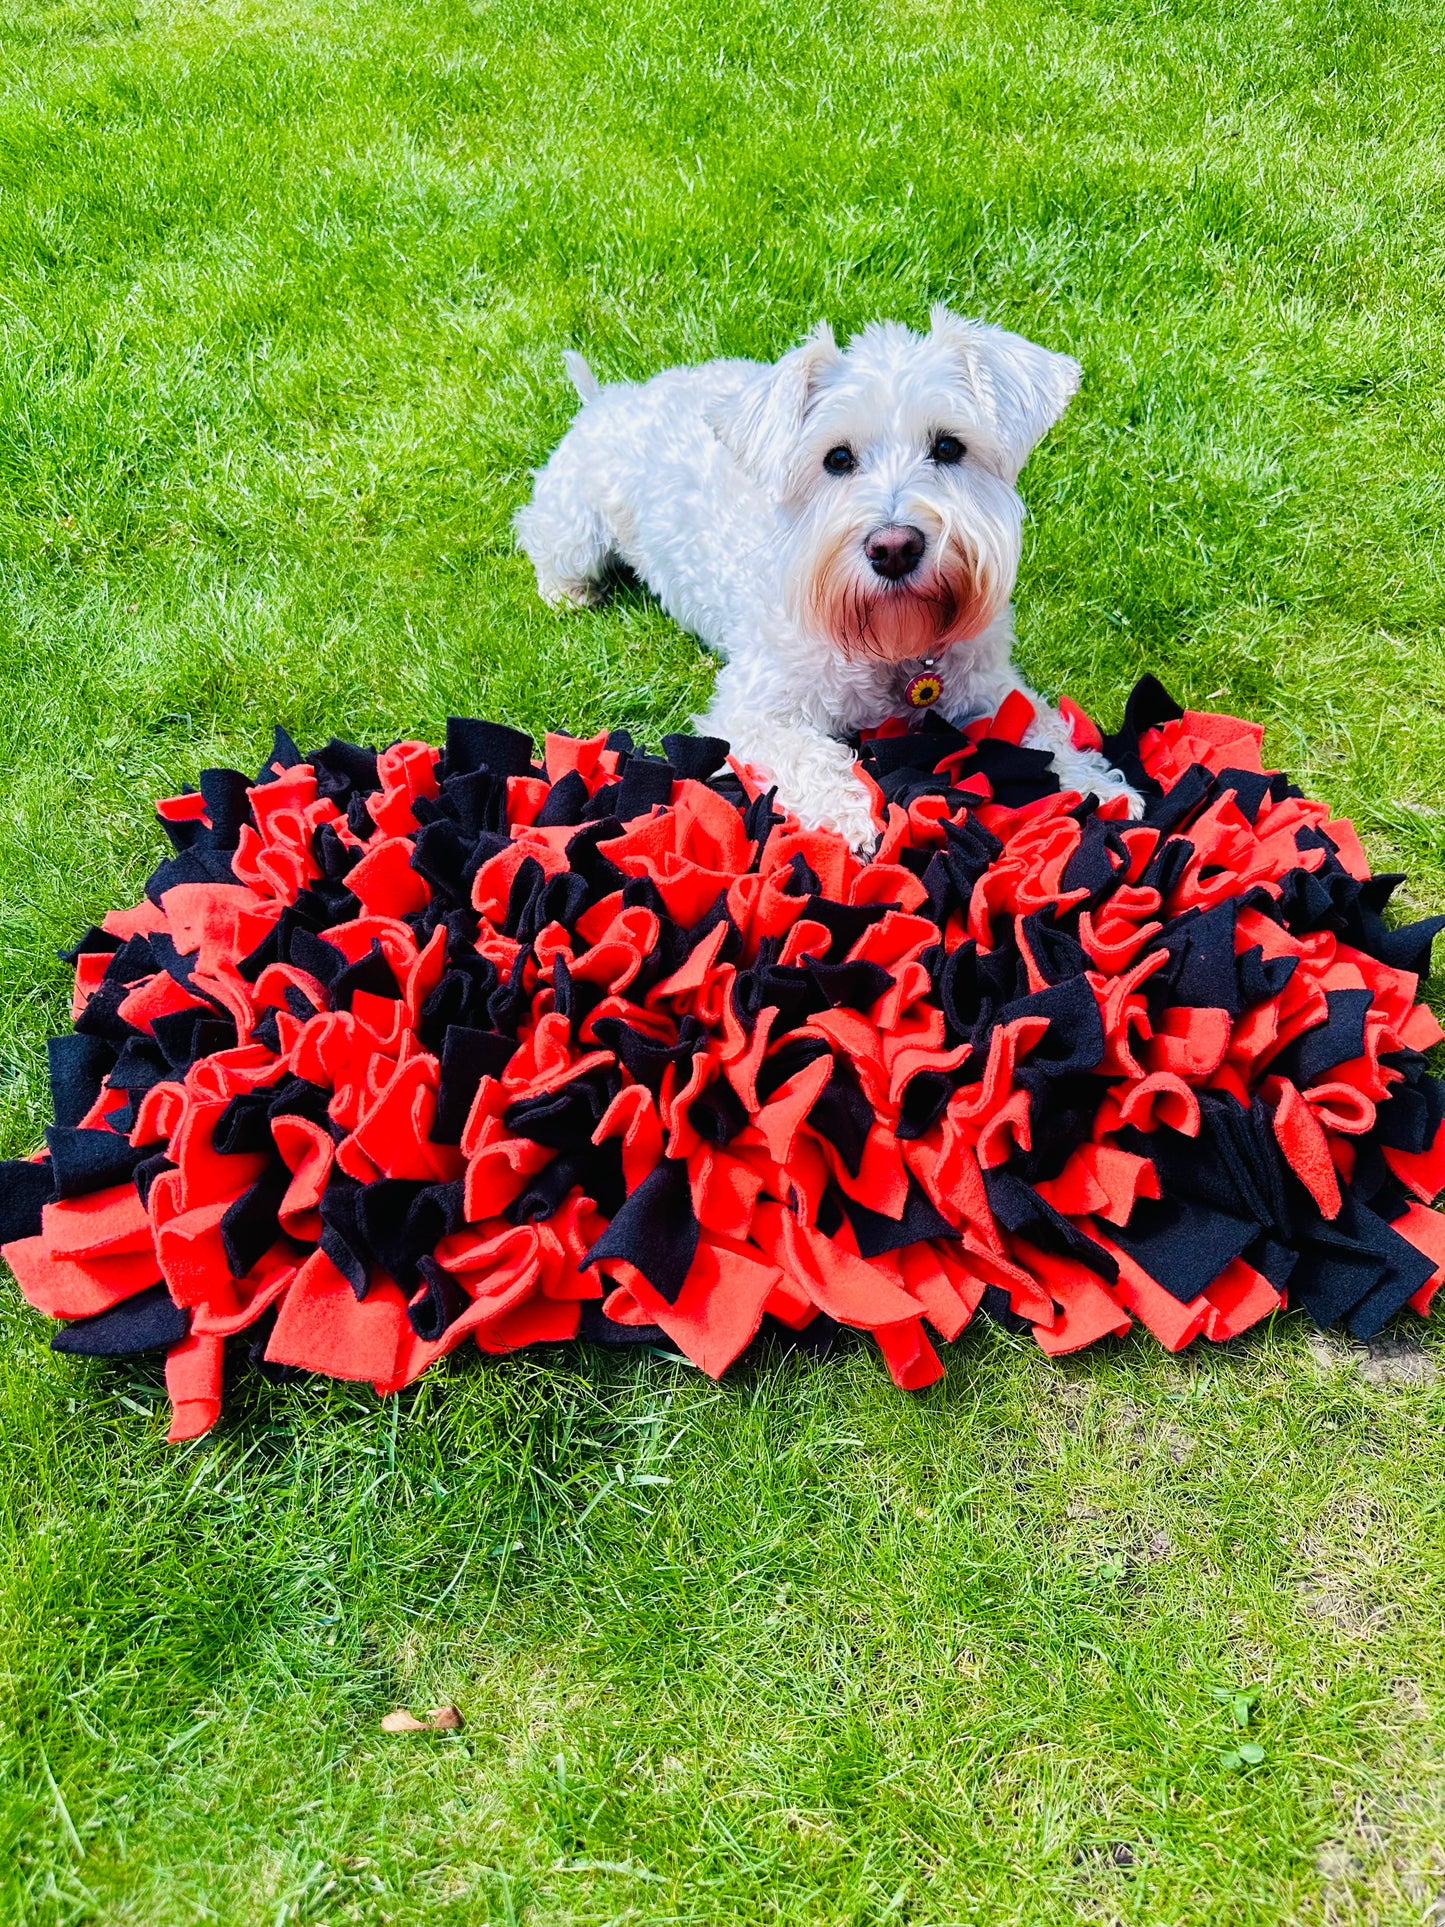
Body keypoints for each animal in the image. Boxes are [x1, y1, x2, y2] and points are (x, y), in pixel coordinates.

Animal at [516, 304, 1140, 847]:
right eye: (837, 459)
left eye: (948, 446)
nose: (894, 548)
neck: (890, 647)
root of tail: (608, 400)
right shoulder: (753, 710)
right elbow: (810, 754)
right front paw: (849, 817)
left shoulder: (988, 683)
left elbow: (1044, 728)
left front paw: (1100, 787)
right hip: (575, 527)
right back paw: (569, 593)